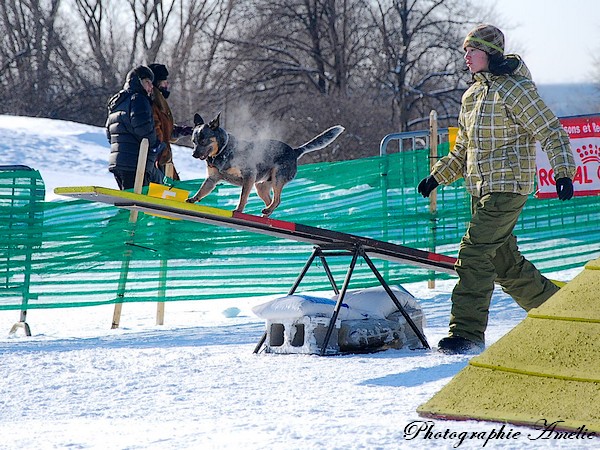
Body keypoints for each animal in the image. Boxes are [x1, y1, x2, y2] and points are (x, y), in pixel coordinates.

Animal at [188, 113, 346, 217]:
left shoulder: (249, 175)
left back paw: (267, 210)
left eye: (203, 140)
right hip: (261, 186)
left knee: (278, 200)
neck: (223, 150)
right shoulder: (212, 179)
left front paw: (238, 210)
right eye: (193, 141)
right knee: (271, 200)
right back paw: (266, 214)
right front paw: (193, 199)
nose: (194, 154)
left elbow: (243, 196)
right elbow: (202, 190)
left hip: (277, 178)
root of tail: (295, 151)